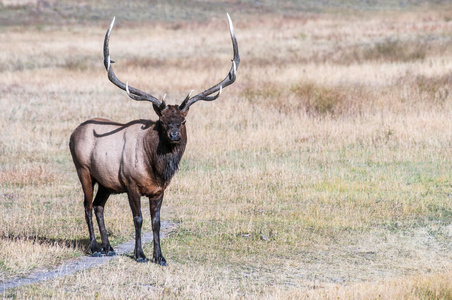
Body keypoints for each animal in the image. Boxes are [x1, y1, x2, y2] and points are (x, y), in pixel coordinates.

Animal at [69, 14, 238, 264]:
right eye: (162, 121)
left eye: (183, 121)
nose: (174, 135)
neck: (155, 168)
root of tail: (73, 133)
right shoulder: (130, 183)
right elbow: (138, 219)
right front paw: (140, 255)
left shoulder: (159, 190)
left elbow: (156, 222)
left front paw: (160, 257)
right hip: (83, 170)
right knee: (88, 206)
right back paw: (95, 247)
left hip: (107, 181)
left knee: (99, 206)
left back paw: (108, 246)